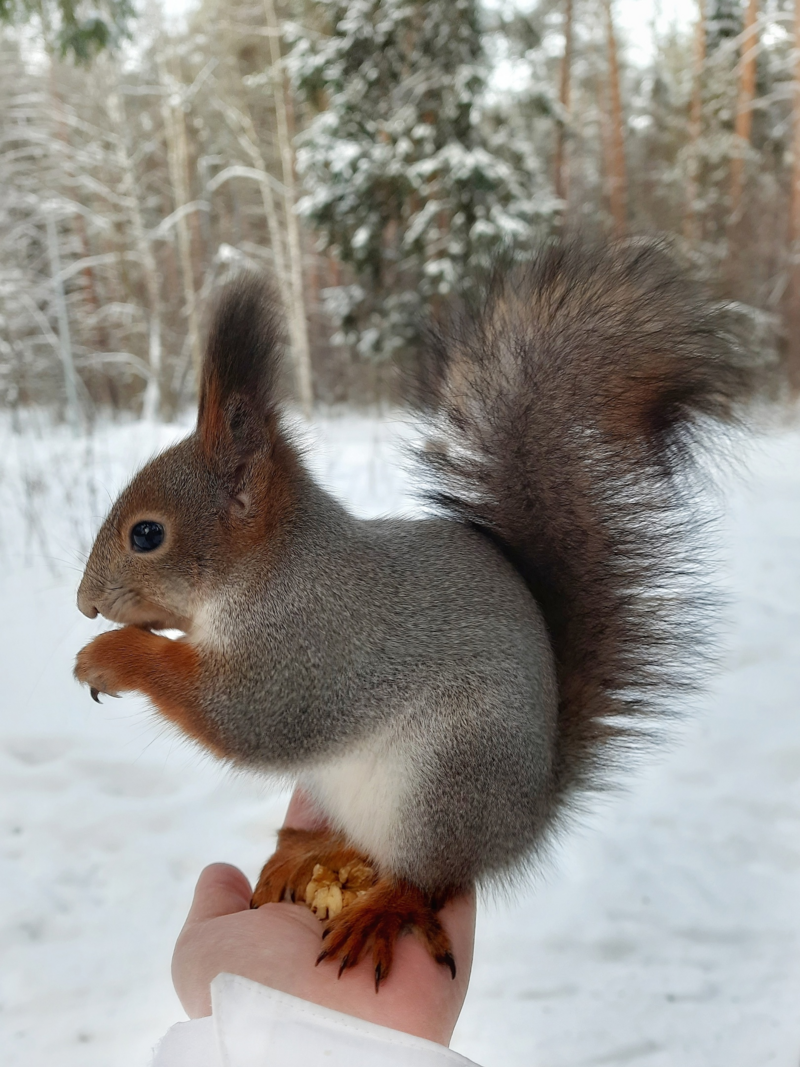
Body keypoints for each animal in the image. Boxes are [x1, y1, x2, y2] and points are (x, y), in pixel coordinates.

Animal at [73, 237, 750, 985]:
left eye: (146, 535)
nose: (85, 604)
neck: (273, 571)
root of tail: (523, 823)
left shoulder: (314, 648)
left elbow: (247, 718)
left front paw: (111, 657)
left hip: (446, 782)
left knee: (424, 877)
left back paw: (379, 907)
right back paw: (312, 850)